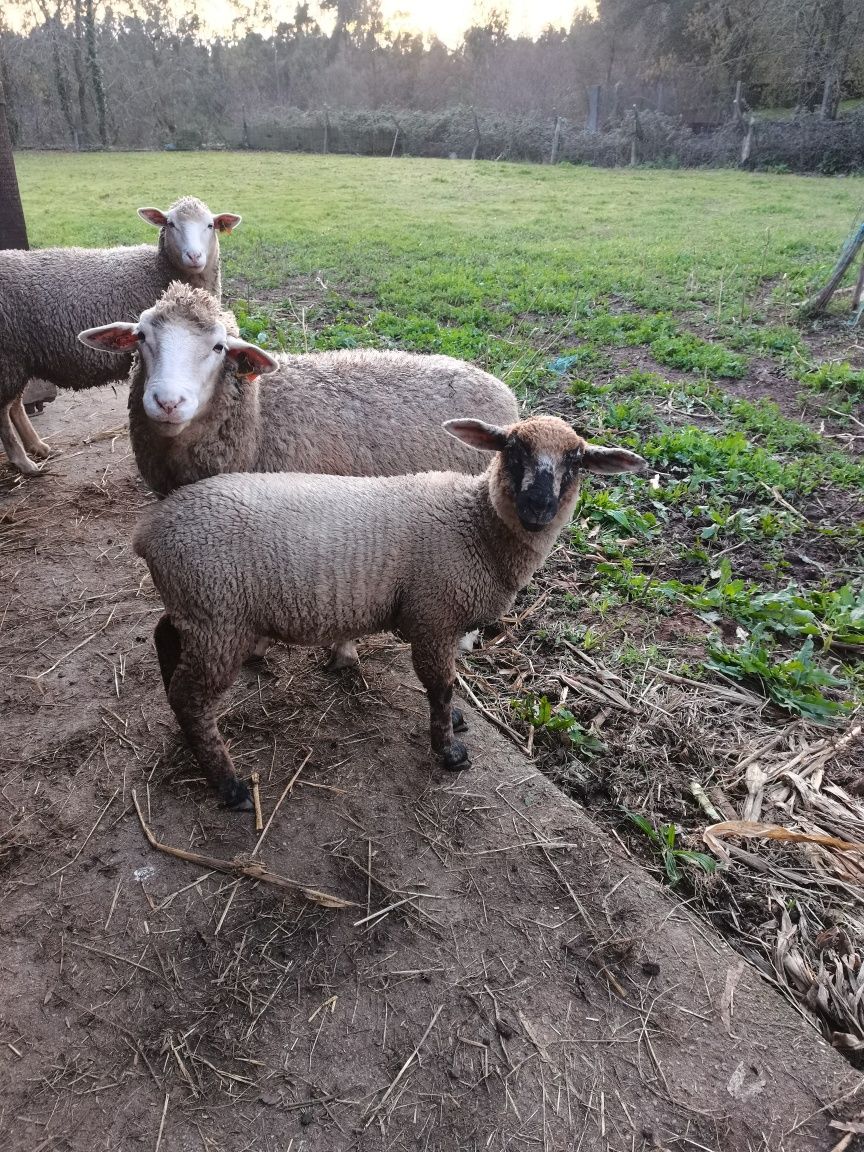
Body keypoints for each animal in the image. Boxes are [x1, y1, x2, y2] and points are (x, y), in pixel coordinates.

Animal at [0, 198, 240, 472]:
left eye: (210, 225)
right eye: (170, 224)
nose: (194, 256)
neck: (158, 272)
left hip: (18, 358)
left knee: (15, 406)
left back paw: (36, 446)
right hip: (8, 357)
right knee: (4, 413)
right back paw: (23, 461)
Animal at [133, 417, 649, 811]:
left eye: (576, 461)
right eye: (512, 450)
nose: (538, 506)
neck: (475, 525)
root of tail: (150, 532)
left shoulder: (442, 621)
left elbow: (448, 684)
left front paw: (454, 721)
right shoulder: (434, 615)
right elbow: (440, 685)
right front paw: (449, 750)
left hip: (197, 609)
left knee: (164, 640)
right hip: (219, 616)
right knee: (191, 695)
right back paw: (230, 786)